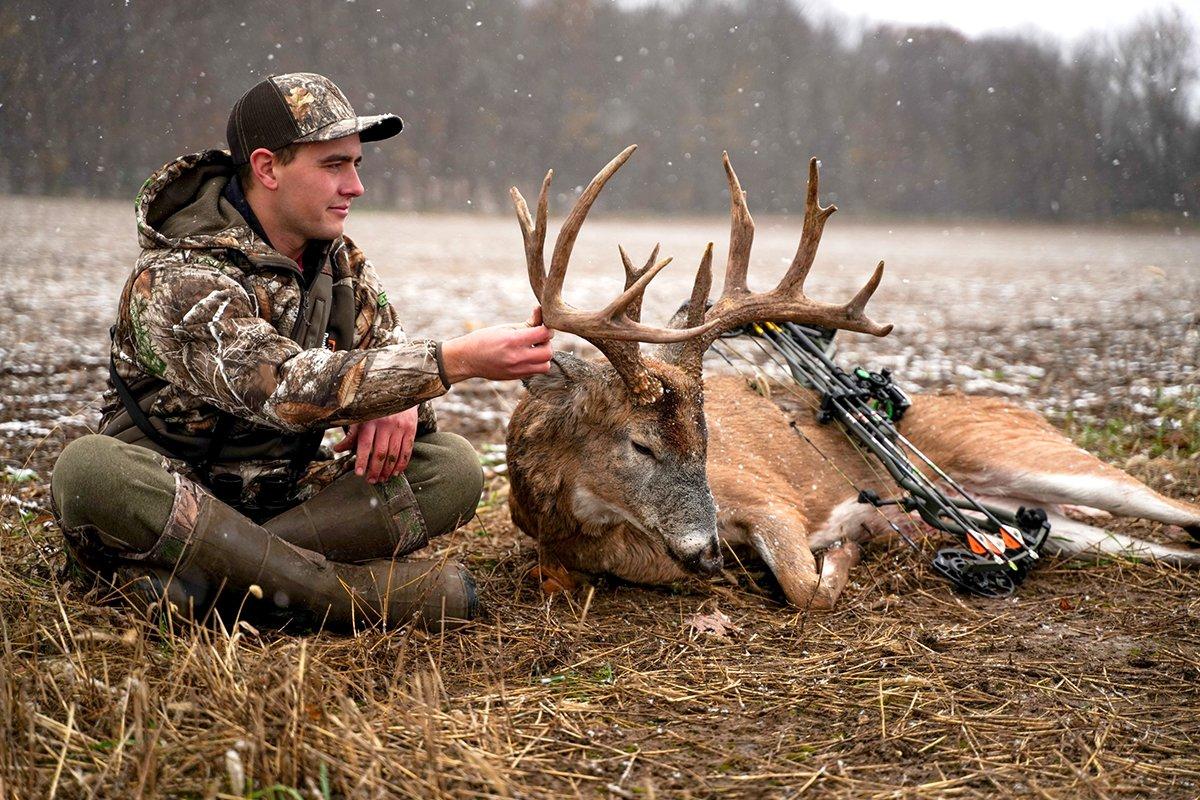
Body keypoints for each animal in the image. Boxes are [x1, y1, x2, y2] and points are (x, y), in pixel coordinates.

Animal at [504, 146, 1200, 610]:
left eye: (706, 440)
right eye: (640, 444)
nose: (706, 551)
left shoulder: (765, 495)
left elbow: (804, 589)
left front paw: (844, 548)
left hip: (1031, 453)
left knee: (1179, 508)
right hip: (1035, 520)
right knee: (1165, 541)